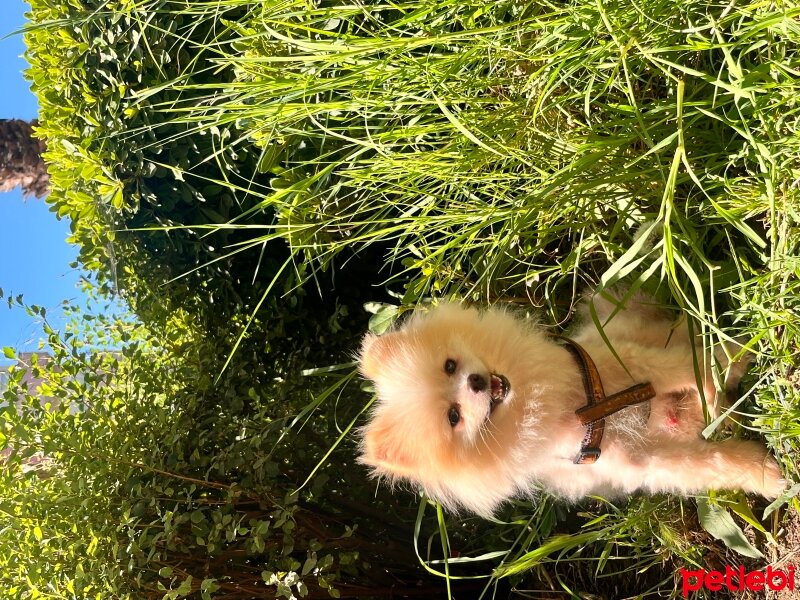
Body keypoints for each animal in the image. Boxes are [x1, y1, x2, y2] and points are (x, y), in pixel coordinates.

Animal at [360, 296, 784, 516]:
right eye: (454, 417)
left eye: (450, 365)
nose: (476, 382)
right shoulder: (638, 459)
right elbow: (710, 463)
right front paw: (770, 477)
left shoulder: (633, 365)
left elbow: (684, 365)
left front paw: (731, 358)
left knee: (680, 338)